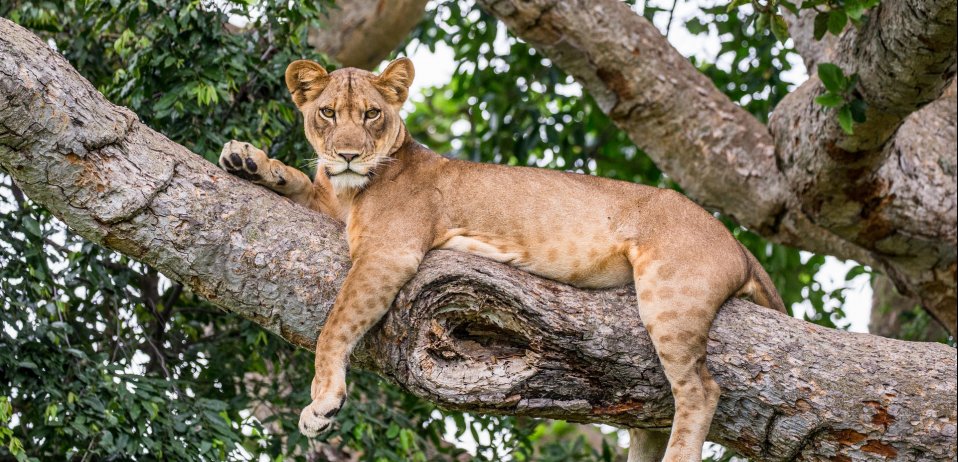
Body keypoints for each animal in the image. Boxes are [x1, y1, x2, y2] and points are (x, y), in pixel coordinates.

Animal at [219, 57, 788, 462]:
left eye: (372, 115)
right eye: (328, 113)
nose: (348, 155)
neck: (349, 191)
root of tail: (736, 242)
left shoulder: (388, 251)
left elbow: (335, 324)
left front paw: (323, 402)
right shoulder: (333, 208)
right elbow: (298, 180)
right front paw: (247, 159)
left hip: (671, 294)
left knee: (700, 389)